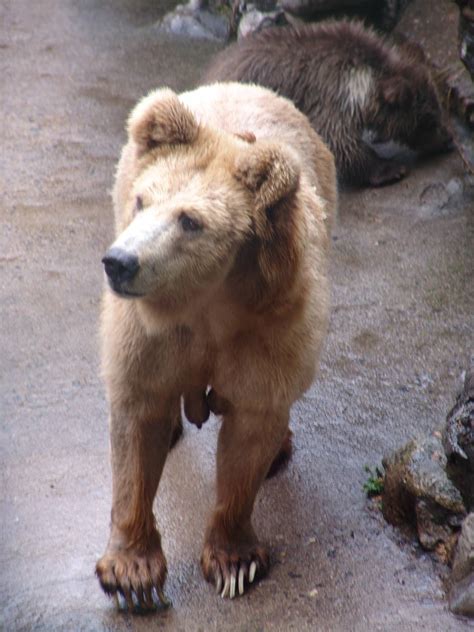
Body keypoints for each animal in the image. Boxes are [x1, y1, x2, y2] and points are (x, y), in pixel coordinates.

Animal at [94, 81, 336, 608]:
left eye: (190, 220)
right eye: (143, 200)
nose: (119, 261)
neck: (207, 305)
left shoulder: (268, 333)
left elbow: (251, 429)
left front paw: (235, 563)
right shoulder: (148, 337)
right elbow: (137, 423)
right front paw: (132, 573)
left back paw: (280, 451)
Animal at [203, 20, 452, 188]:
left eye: (439, 109)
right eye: (429, 120)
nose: (447, 140)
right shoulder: (331, 97)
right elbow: (341, 142)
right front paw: (390, 169)